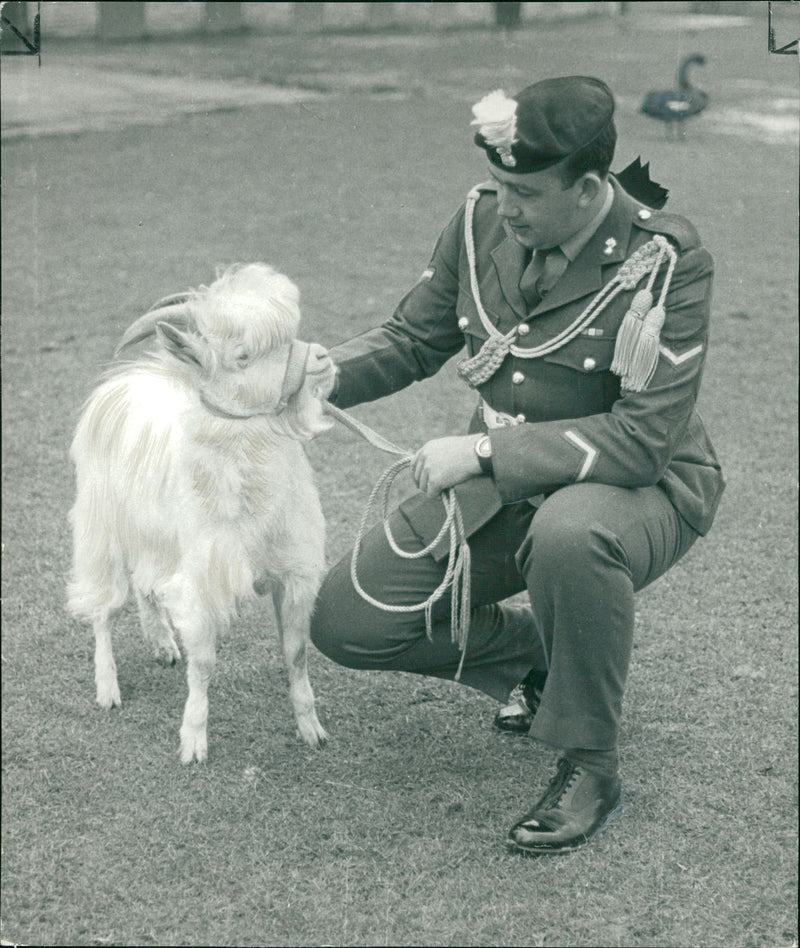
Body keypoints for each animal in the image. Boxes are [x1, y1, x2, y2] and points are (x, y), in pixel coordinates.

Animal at [65, 264, 334, 764]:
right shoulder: (204, 579)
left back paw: (161, 642)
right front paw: (193, 741)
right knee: (105, 610)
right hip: (101, 529)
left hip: (154, 537)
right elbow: (205, 662)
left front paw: (311, 728)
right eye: (244, 356)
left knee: (145, 584)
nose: (323, 358)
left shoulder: (293, 570)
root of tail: (130, 377)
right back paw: (108, 687)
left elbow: (295, 653)